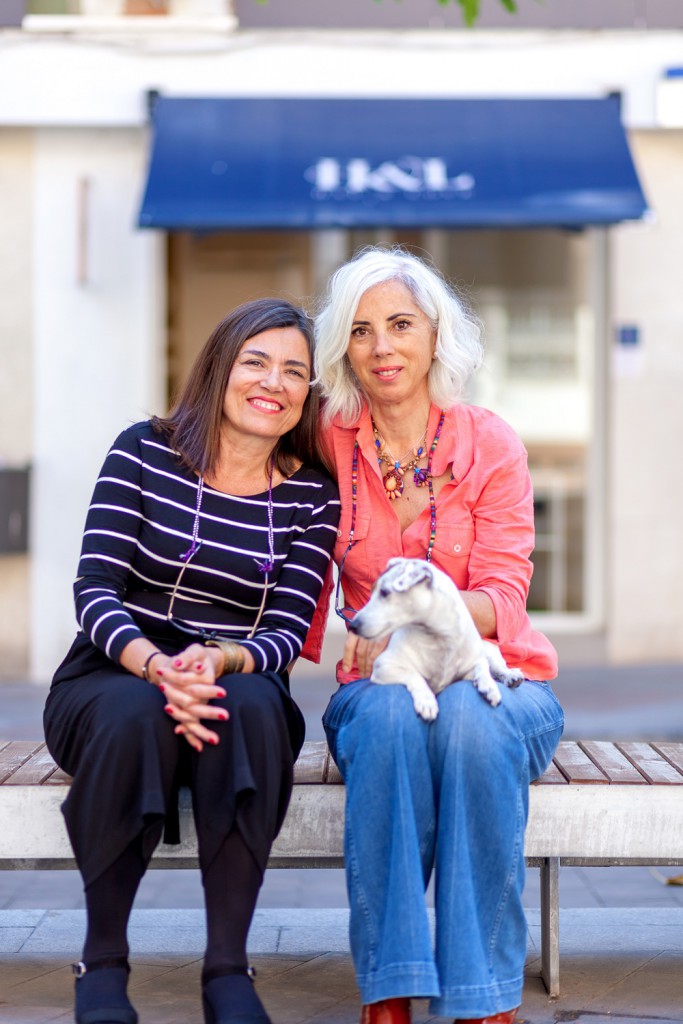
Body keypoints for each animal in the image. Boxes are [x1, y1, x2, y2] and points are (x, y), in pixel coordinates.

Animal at [350, 561, 528, 720]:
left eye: (385, 592)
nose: (353, 625)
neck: (438, 639)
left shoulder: (470, 667)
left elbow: (482, 669)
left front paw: (489, 687)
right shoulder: (384, 666)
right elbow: (414, 675)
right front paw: (426, 701)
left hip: (488, 649)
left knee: (496, 666)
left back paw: (511, 676)